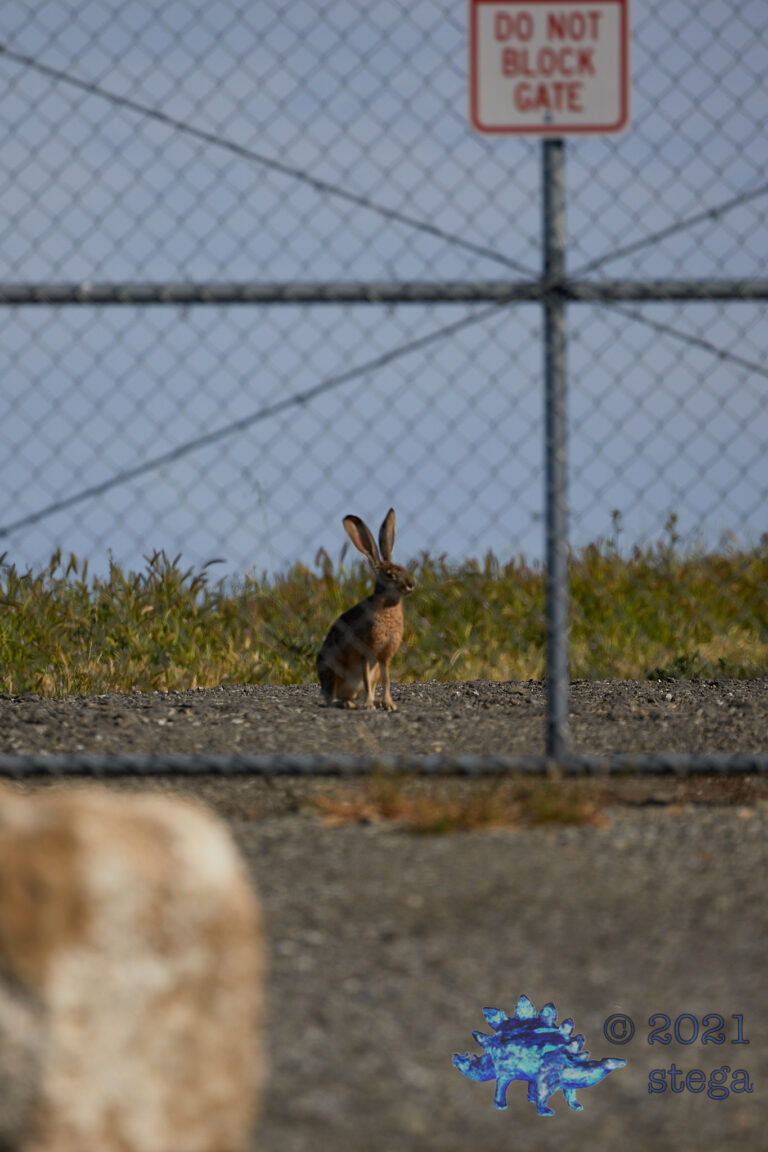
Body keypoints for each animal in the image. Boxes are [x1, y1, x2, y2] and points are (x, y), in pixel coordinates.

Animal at [317, 508, 414, 711]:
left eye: (403, 569)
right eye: (390, 575)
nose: (411, 585)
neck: (388, 606)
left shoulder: (384, 657)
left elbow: (386, 680)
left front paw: (389, 704)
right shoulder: (366, 652)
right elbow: (366, 679)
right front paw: (369, 705)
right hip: (332, 668)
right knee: (334, 697)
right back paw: (349, 703)